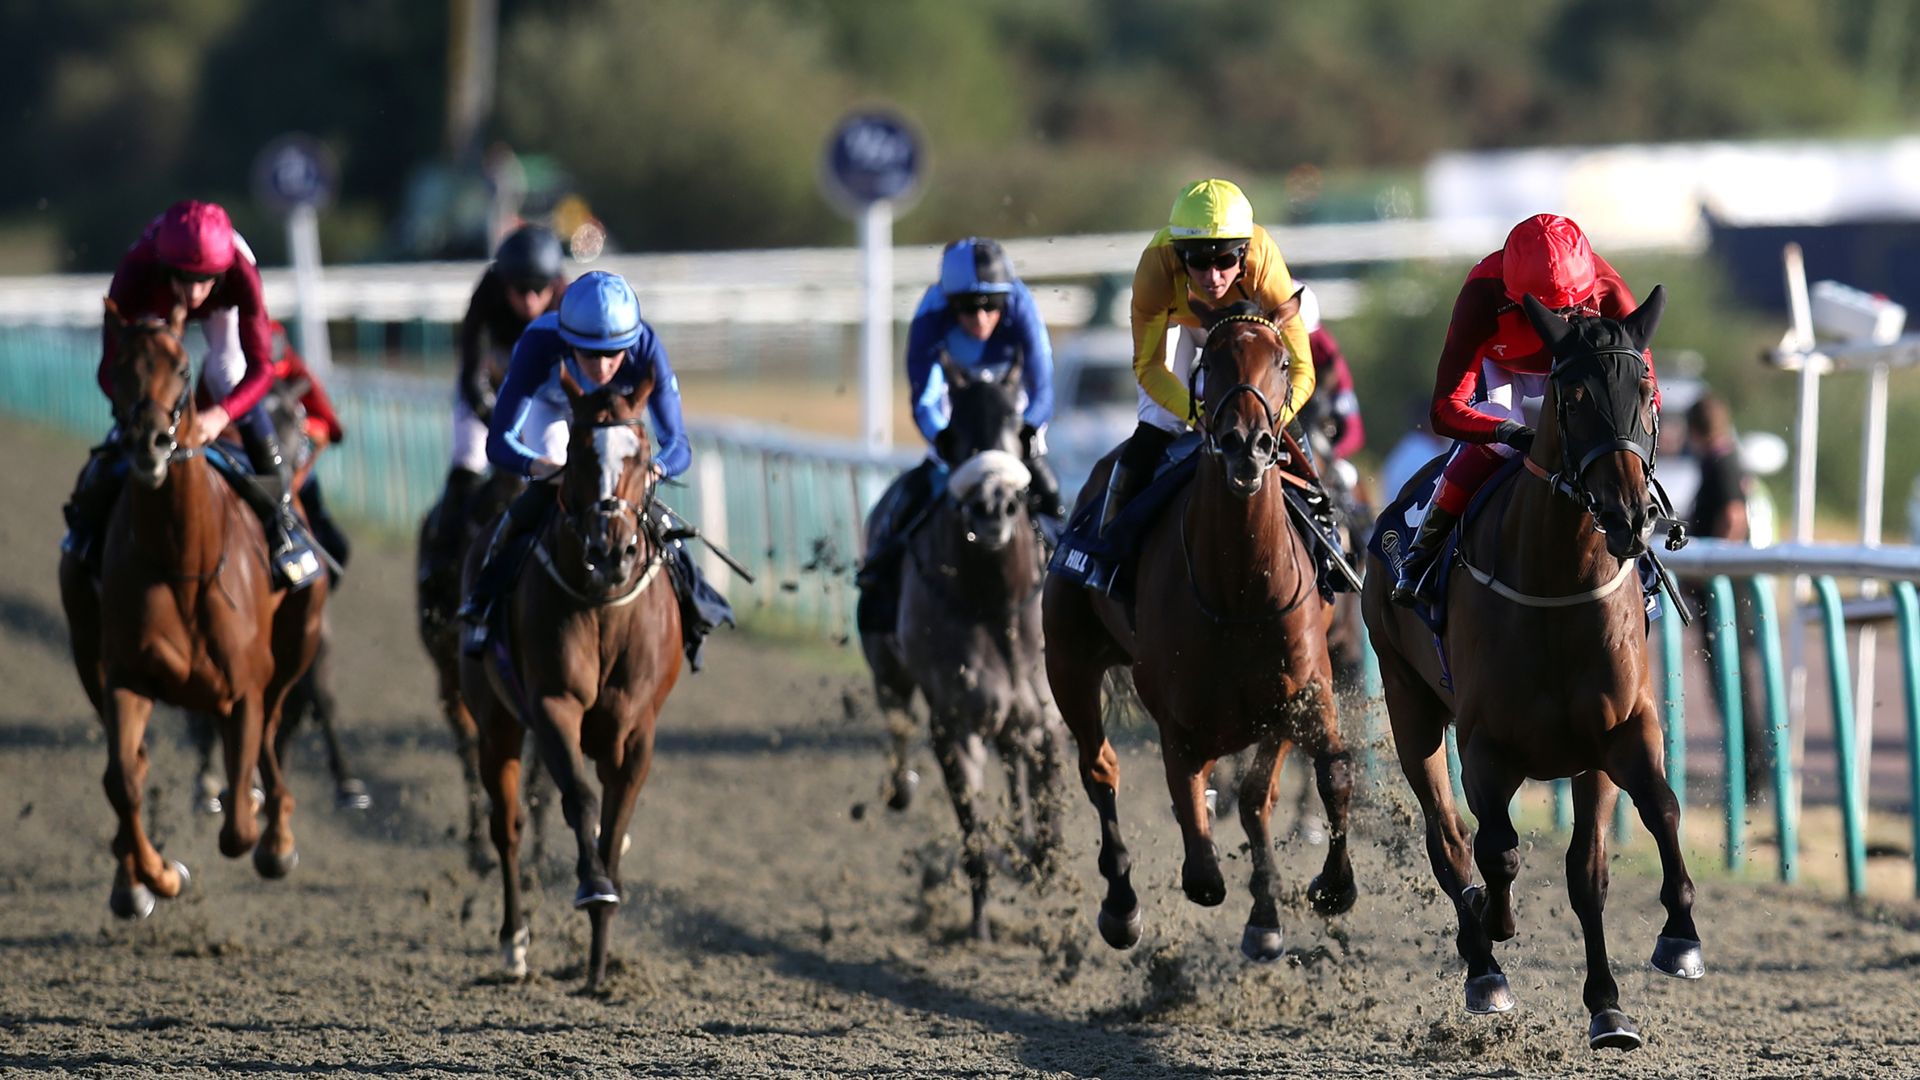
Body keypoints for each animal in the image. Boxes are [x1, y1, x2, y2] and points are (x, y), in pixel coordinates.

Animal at [60, 297, 326, 910]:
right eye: (119, 367)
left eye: (183, 369)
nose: (148, 443)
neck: (182, 560)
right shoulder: (126, 677)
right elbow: (123, 780)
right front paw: (153, 876)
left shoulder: (246, 686)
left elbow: (238, 829)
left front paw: (259, 825)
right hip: (86, 651)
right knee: (127, 768)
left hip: (296, 644)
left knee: (270, 736)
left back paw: (276, 835)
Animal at [458, 365, 683, 991]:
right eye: (579, 452)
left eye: (644, 453)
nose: (611, 550)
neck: (602, 604)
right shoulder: (554, 705)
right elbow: (580, 802)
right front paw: (595, 886)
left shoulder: (635, 727)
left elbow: (614, 820)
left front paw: (600, 963)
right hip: (496, 721)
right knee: (507, 826)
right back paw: (513, 942)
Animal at [1044, 295, 1359, 957]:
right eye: (1209, 361)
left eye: (1283, 360)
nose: (1247, 444)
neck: (1239, 586)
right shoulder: (1179, 713)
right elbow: (1198, 840)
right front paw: (1211, 868)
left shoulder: (1302, 690)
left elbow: (1311, 778)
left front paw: (1319, 893)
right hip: (1067, 658)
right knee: (1099, 768)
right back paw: (1121, 905)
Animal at [1359, 288, 1704, 1053]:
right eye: (1572, 397)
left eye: (1646, 391)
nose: (1629, 516)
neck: (1556, 586)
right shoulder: (1486, 746)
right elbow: (1499, 853)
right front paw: (1492, 931)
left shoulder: (1617, 735)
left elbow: (1634, 834)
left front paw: (1653, 962)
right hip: (1409, 704)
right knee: (1449, 839)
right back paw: (1483, 962)